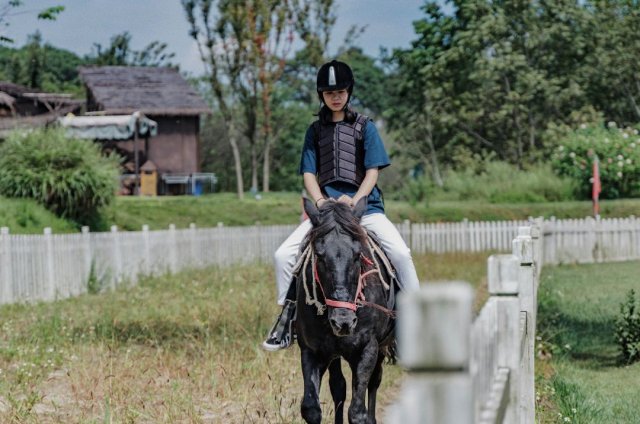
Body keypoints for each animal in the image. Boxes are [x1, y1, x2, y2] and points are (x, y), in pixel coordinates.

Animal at [296, 199, 396, 424]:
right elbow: (311, 408)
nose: (343, 322)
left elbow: (358, 412)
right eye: (319, 256)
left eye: (358, 255)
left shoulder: (368, 348)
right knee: (338, 387)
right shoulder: (311, 351)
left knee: (374, 382)